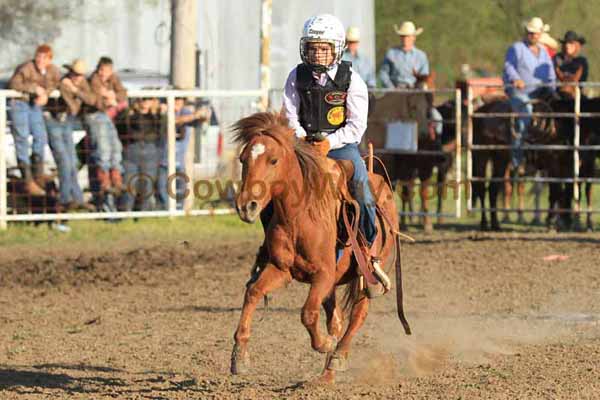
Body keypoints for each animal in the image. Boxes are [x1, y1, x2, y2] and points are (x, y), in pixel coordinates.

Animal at [232, 112, 410, 384]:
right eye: (243, 159)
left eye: (273, 160)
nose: (246, 206)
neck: (299, 216)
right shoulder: (281, 270)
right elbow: (253, 293)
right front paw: (239, 356)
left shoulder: (323, 275)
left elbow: (308, 313)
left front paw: (325, 344)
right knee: (336, 319)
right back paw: (326, 375)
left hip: (363, 277)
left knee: (358, 313)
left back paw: (337, 357)